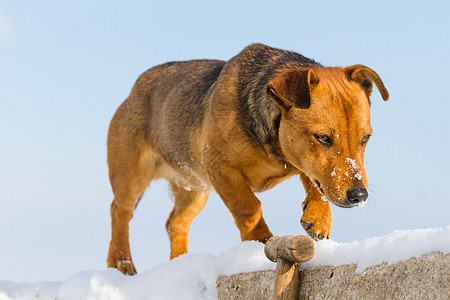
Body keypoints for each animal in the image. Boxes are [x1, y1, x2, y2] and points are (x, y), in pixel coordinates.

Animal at [105, 43, 386, 276]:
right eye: (323, 138)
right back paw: (121, 262)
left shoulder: (298, 160)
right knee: (120, 212)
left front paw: (318, 218)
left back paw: (180, 263)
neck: (274, 149)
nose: (359, 196)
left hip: (195, 189)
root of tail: (133, 91)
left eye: (365, 138)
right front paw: (260, 243)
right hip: (131, 175)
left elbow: (314, 181)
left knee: (176, 222)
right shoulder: (221, 167)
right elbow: (249, 207)